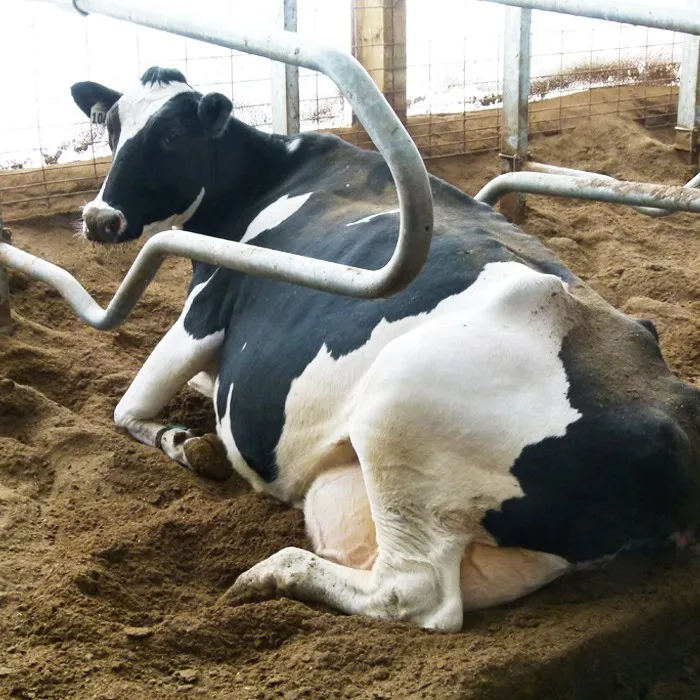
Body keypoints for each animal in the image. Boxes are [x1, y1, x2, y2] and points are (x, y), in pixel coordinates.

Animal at [69, 66, 700, 632]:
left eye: (170, 136)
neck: (269, 176)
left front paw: (185, 443)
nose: (100, 218)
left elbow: (128, 407)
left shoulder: (202, 312)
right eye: (112, 128)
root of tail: (671, 423)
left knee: (414, 593)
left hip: (399, 405)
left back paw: (272, 573)